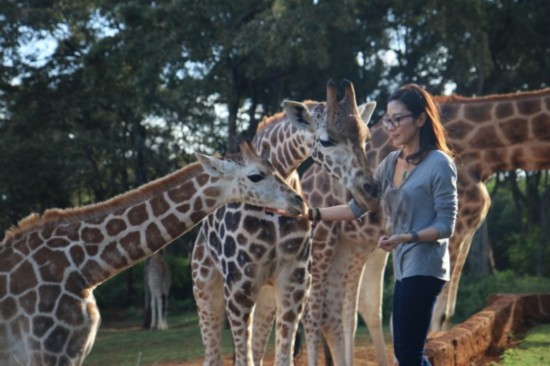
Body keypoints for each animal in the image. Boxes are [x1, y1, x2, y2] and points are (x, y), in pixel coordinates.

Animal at [192, 81, 382, 366]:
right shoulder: (238, 288)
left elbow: (282, 358)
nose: (369, 192)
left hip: (266, 295)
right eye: (326, 140)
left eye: (366, 138)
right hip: (206, 289)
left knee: (258, 351)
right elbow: (243, 359)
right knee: (213, 355)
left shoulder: (294, 282)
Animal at [298, 87, 550, 364]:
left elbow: (445, 312)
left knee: (345, 310)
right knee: (314, 313)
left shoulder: (467, 231)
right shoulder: (457, 228)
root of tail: (305, 182)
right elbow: (435, 315)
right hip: (322, 241)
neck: (487, 155)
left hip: (352, 245)